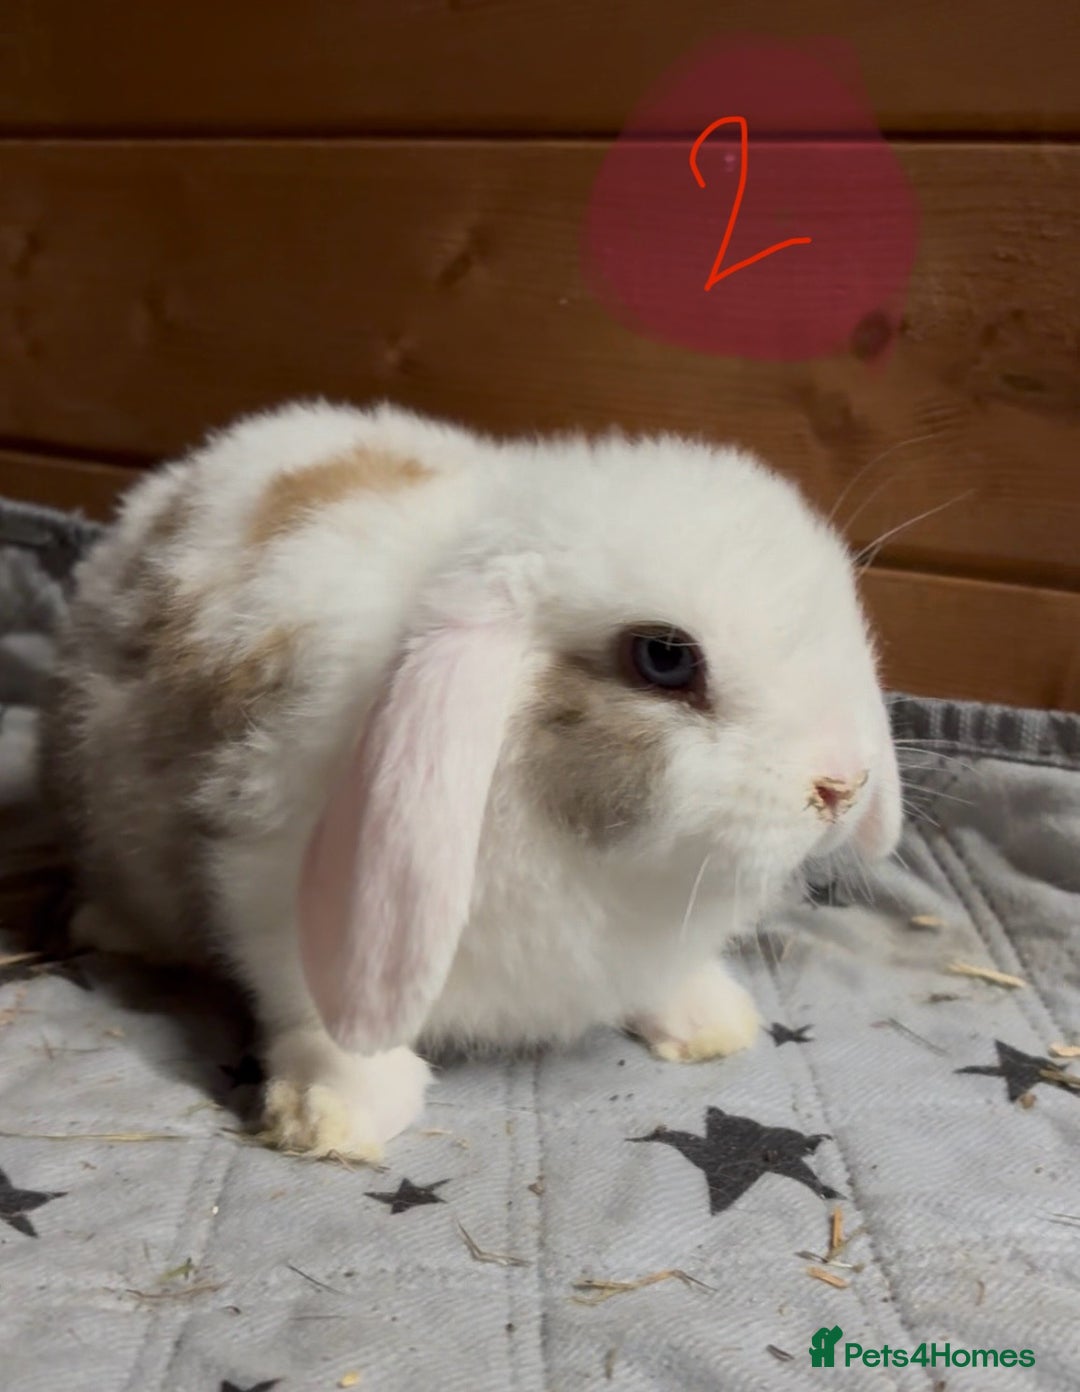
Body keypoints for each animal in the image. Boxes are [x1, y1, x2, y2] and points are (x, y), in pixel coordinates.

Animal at [39, 399, 902, 1162]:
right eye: (663, 657)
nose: (843, 785)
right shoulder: (282, 888)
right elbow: (318, 1011)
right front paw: (336, 1115)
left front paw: (713, 1025)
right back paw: (114, 931)